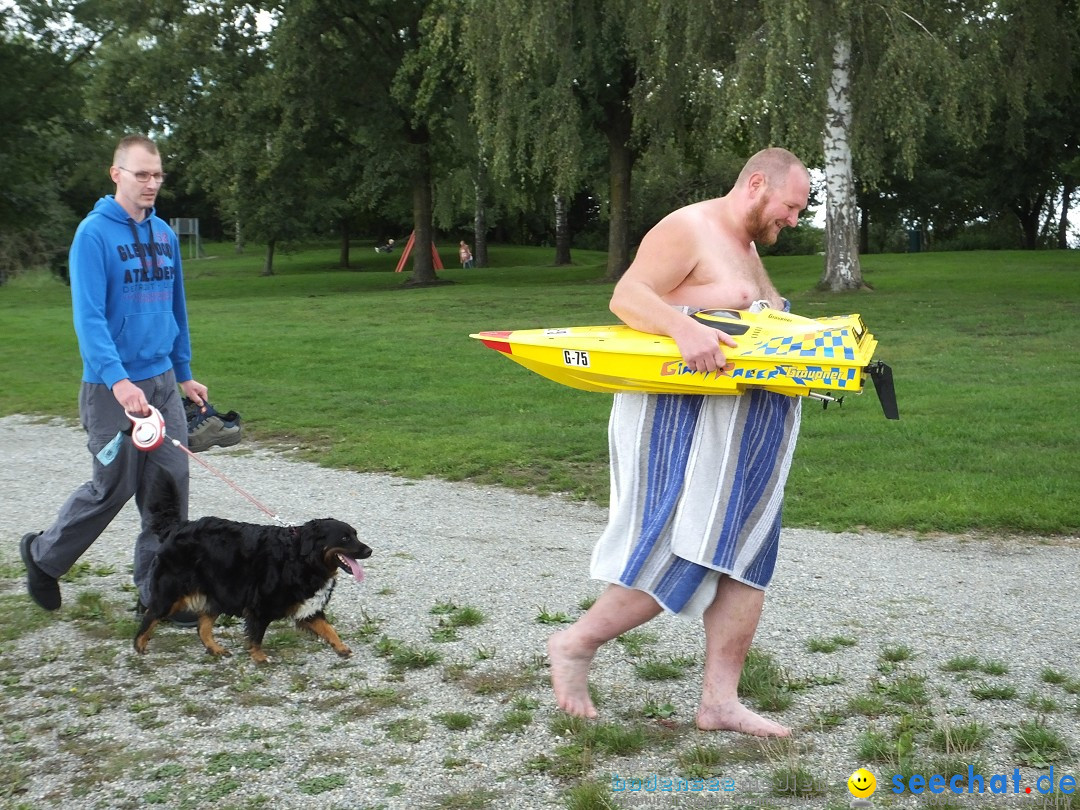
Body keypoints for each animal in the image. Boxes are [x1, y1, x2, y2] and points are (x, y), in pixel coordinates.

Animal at [133, 475, 371, 665]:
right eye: (344, 538)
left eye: (355, 534)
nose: (369, 550)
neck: (301, 558)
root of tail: (176, 527)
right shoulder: (260, 606)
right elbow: (256, 636)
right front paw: (259, 657)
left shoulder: (309, 609)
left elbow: (329, 628)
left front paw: (341, 647)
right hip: (171, 593)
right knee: (151, 615)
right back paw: (139, 645)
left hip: (217, 594)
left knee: (202, 628)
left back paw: (215, 649)